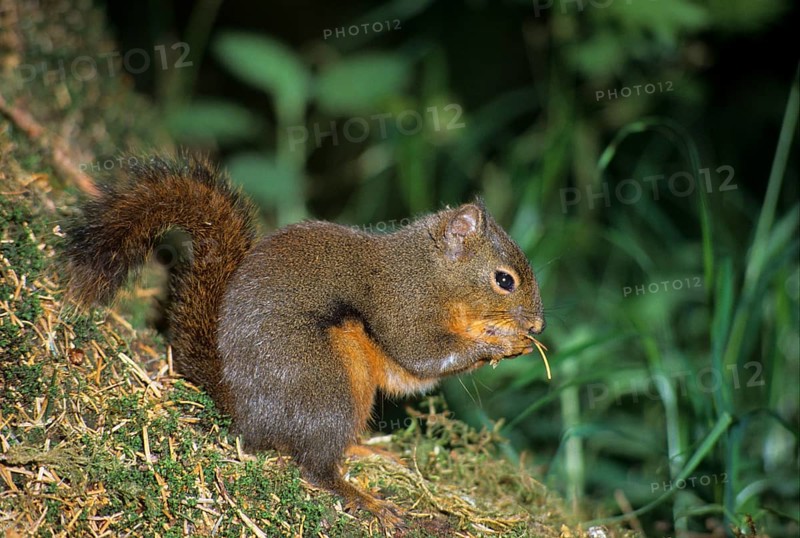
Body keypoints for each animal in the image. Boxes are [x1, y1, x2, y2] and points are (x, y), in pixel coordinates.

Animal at [63, 153, 546, 529]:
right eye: (504, 280)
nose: (539, 326)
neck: (431, 273)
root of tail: (244, 410)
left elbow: (410, 375)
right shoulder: (401, 305)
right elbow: (421, 355)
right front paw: (501, 344)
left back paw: (368, 451)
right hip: (327, 384)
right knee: (315, 466)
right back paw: (362, 497)